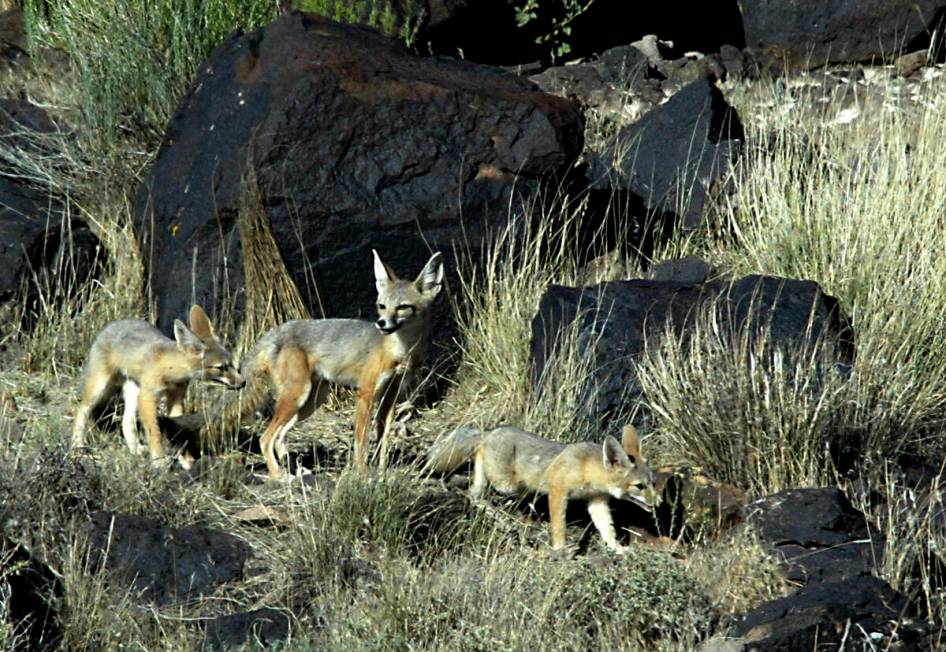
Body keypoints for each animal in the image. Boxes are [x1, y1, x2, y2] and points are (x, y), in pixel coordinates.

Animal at [72, 304, 245, 464]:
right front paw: (159, 460)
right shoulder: (147, 398)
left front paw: (186, 460)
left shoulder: (176, 399)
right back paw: (77, 445)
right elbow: (154, 432)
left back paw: (135, 448)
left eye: (231, 363)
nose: (243, 382)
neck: (170, 372)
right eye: (220, 368)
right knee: (82, 410)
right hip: (100, 388)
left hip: (134, 393)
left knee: (126, 422)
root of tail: (113, 324)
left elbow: (178, 431)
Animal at [206, 250, 442, 478]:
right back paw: (279, 476)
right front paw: (362, 473)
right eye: (382, 306)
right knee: (266, 438)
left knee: (279, 437)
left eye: (403, 307)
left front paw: (382, 470)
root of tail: (275, 330)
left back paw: (293, 469)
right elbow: (362, 439)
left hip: (310, 401)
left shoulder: (391, 396)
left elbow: (383, 437)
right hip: (298, 395)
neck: (399, 351)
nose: (381, 323)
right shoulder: (365, 394)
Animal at [424, 422, 660, 556]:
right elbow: (559, 526)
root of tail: (491, 431)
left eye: (652, 483)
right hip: (506, 484)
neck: (587, 468)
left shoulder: (596, 501)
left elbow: (607, 528)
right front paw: (560, 549)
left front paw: (616, 548)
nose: (658, 503)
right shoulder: (558, 490)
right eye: (639, 486)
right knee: (478, 456)